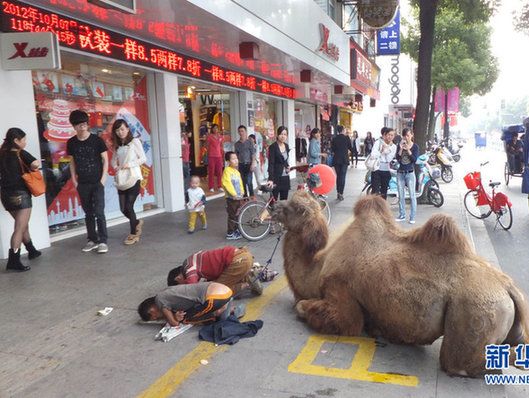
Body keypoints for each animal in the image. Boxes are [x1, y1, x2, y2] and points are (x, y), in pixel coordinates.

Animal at [276, 191, 528, 378]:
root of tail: (509, 288)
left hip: (475, 310)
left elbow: (319, 312)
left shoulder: (340, 292)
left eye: (294, 207)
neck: (319, 266)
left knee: (458, 363)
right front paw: (381, 330)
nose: (275, 205)